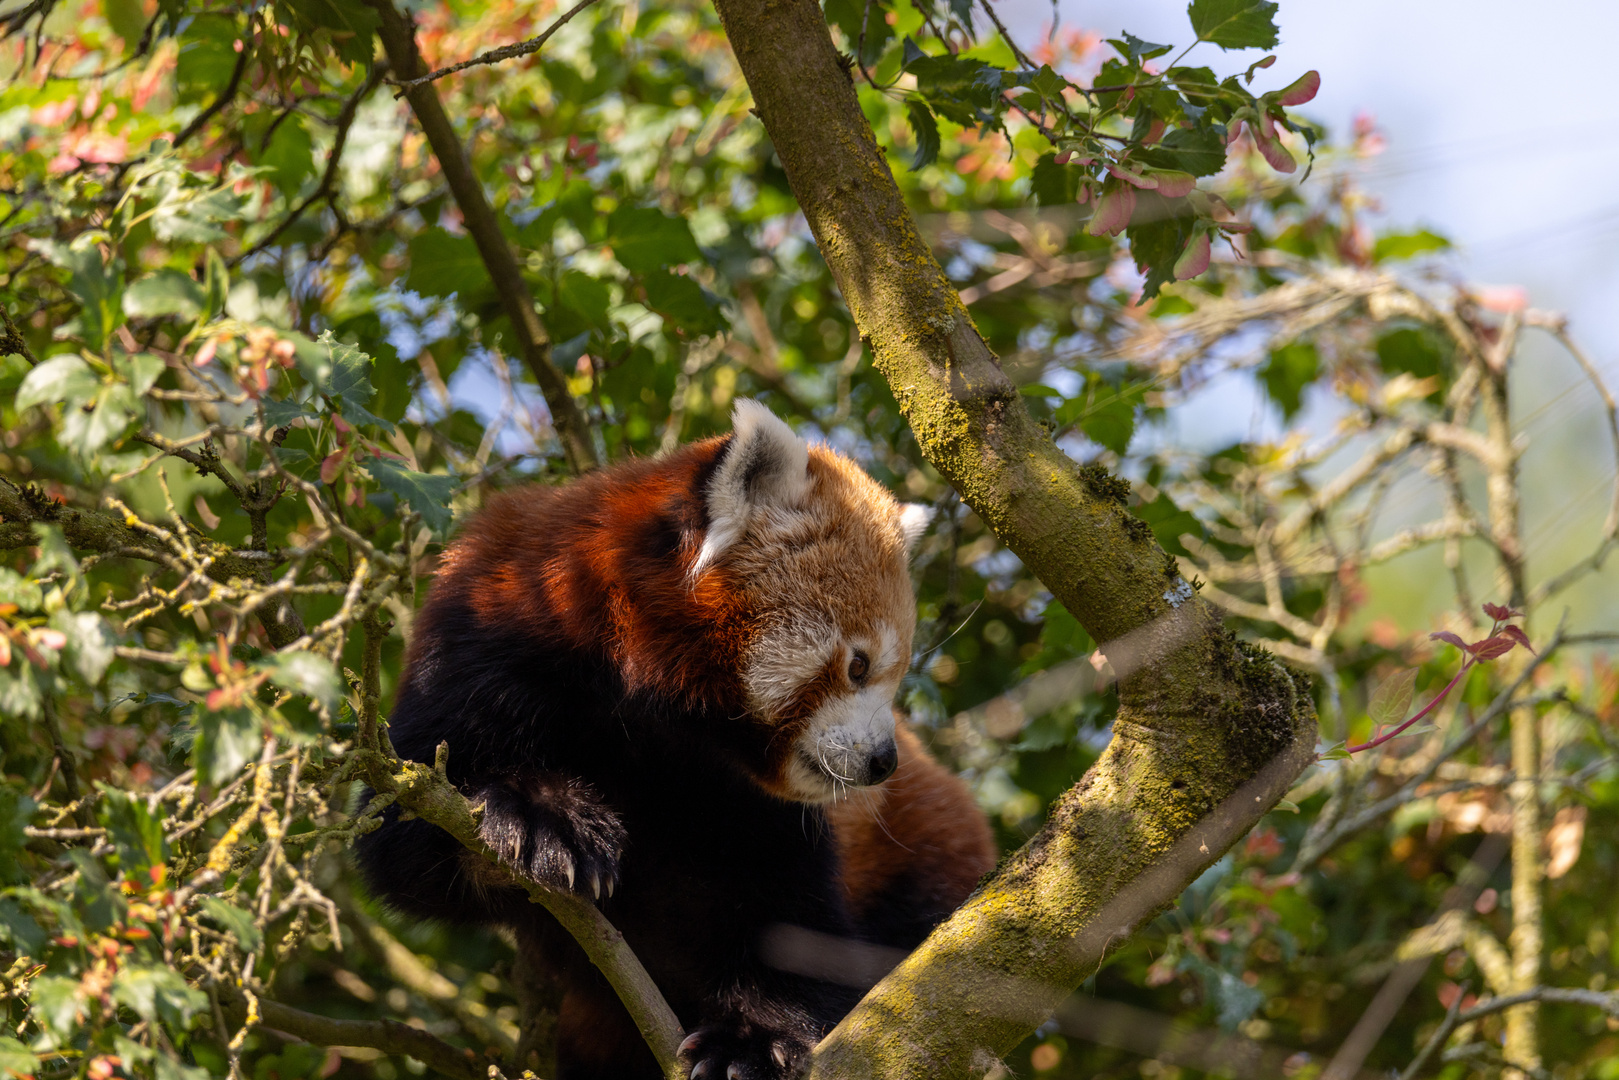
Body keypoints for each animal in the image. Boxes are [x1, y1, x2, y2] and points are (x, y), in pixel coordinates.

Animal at [357, 403, 997, 1080]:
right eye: (858, 665)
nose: (884, 761)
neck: (646, 708)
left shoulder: (760, 809)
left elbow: (790, 924)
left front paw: (754, 1043)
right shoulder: (482, 632)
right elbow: (404, 839)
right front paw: (538, 816)